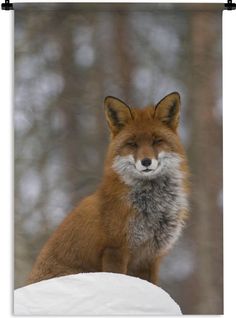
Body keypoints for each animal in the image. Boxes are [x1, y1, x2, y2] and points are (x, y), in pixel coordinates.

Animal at [27, 92, 190, 286]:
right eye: (132, 144)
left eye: (157, 141)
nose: (146, 162)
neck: (153, 208)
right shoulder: (115, 249)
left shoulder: (151, 257)